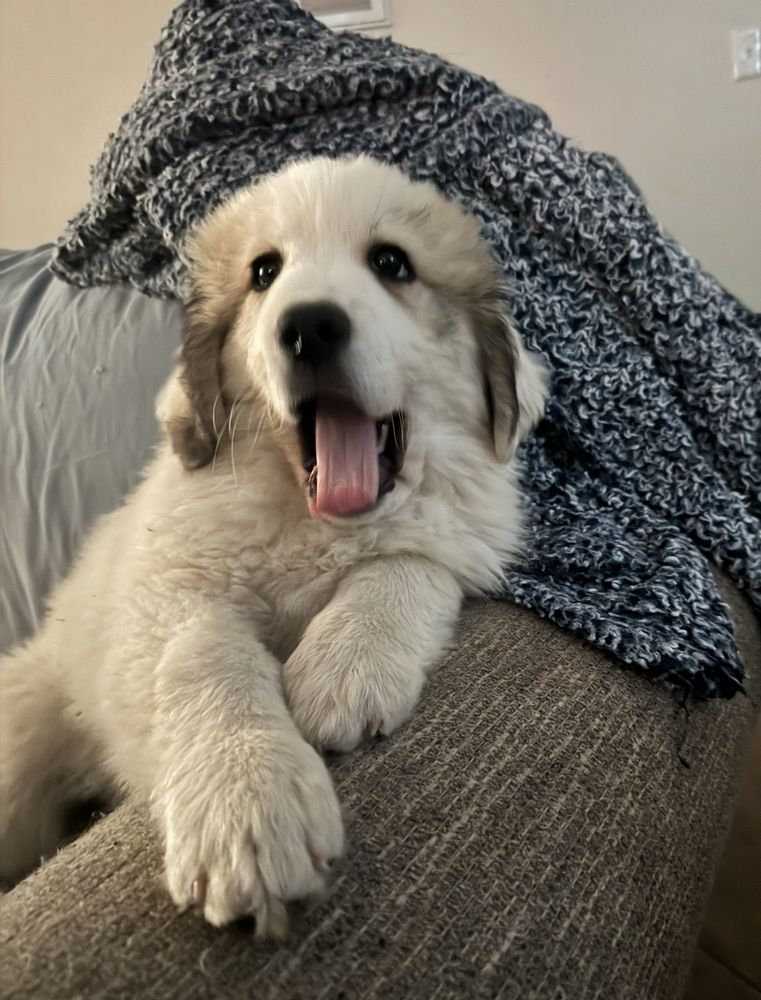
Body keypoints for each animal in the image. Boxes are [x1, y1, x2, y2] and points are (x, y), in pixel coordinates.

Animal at [0, 156, 547, 933]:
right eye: (264, 271)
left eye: (391, 263)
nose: (308, 326)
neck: (315, 518)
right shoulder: (165, 588)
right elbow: (207, 657)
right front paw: (248, 802)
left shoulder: (461, 540)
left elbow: (405, 565)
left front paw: (344, 667)